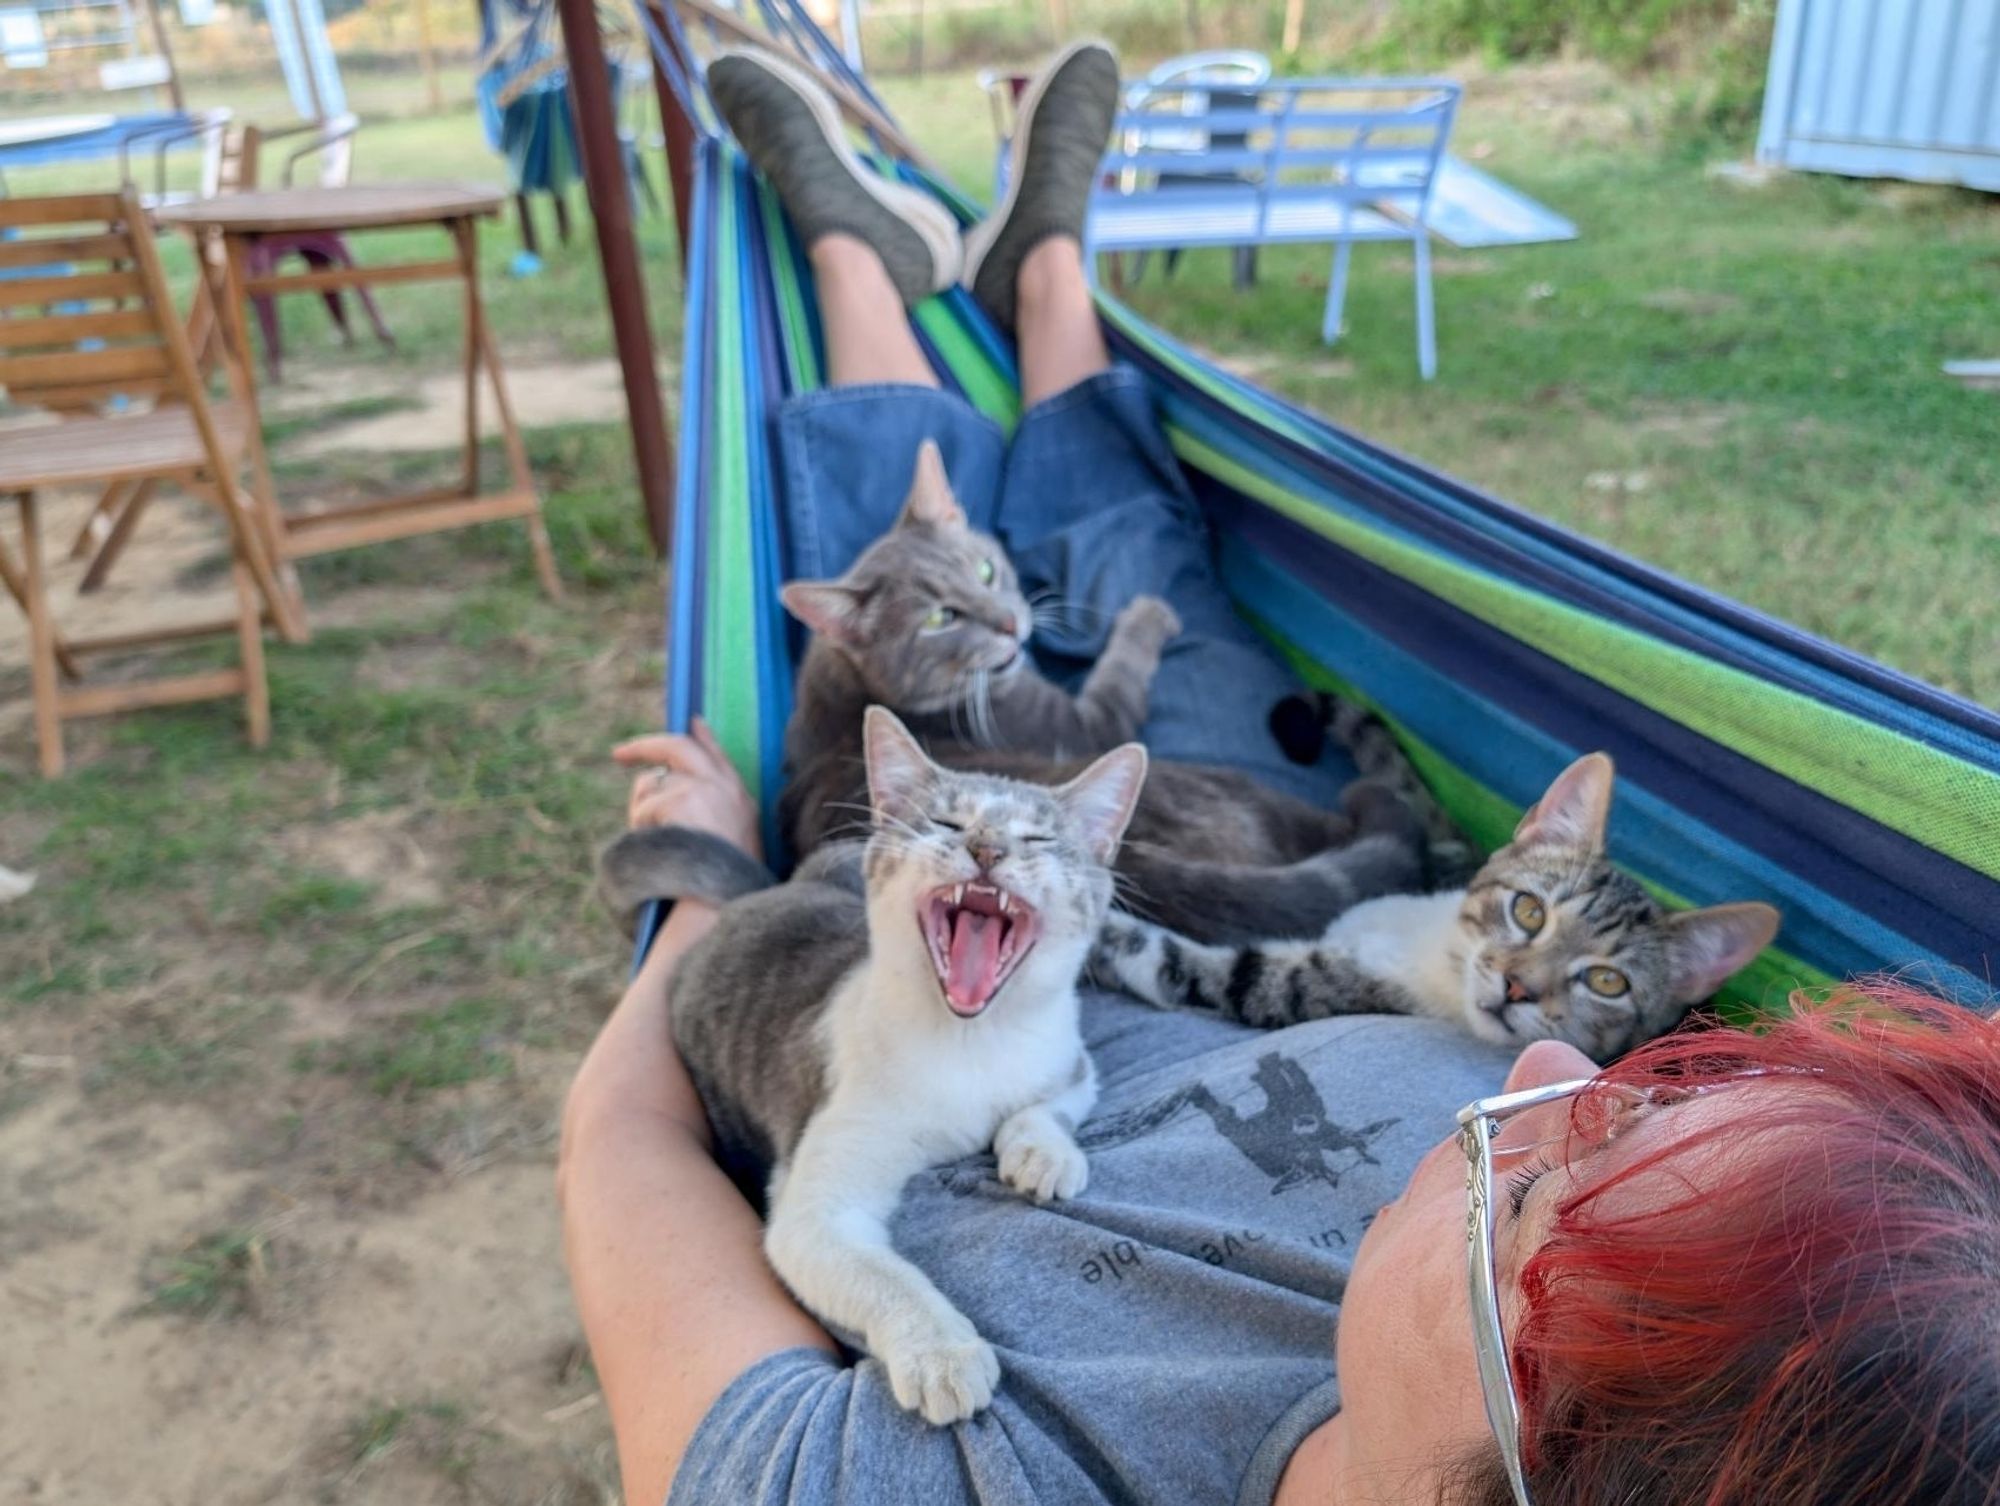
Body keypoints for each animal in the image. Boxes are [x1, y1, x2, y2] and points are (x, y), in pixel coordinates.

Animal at [668, 704, 1144, 1424]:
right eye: (945, 823)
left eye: (1037, 838)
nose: (987, 850)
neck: (971, 1045)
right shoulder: (816, 1208)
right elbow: (884, 1275)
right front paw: (943, 1353)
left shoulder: (1072, 1062)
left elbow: (1048, 1107)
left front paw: (1043, 1154)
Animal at [1096, 752, 1784, 1056]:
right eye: (1529, 911)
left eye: (1608, 983)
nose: (1517, 989)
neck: (1433, 956)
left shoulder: (1299, 987)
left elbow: (1192, 966)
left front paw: (1102, 930)